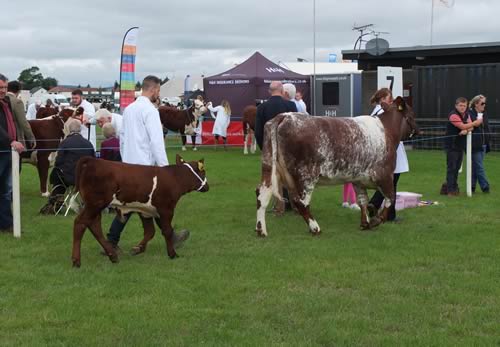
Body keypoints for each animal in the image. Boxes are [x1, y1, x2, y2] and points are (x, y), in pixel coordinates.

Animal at [71, 156, 208, 270]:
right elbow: (167, 231)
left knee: (94, 225)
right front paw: (172, 254)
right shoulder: (166, 209)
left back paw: (113, 256)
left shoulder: (146, 211)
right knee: (80, 223)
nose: (207, 186)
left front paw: (138, 248)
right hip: (95, 204)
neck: (174, 178)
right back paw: (76, 261)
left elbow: (150, 231)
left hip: (95, 206)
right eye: (203, 171)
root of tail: (93, 160)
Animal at [254, 98, 418, 239]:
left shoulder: (358, 180)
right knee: (300, 202)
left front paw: (365, 224)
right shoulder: (385, 174)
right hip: (306, 175)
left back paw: (261, 230)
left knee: (262, 195)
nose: (419, 130)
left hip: (269, 167)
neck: (387, 131)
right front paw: (375, 221)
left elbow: (363, 201)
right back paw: (315, 228)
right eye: (411, 114)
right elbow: (390, 198)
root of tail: (284, 116)